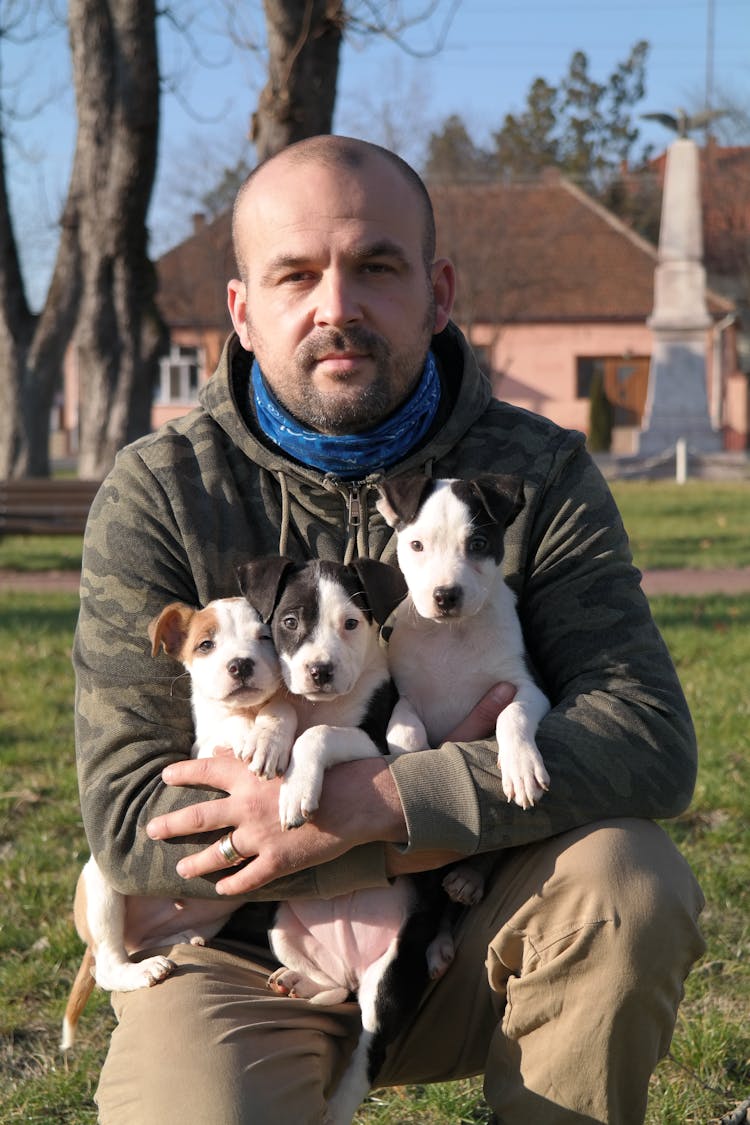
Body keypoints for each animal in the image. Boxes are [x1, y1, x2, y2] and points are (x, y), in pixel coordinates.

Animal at [377, 472, 548, 810]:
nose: (445, 595)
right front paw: (415, 757)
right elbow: (403, 735)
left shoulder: (528, 685)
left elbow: (512, 714)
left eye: (478, 544)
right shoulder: (407, 696)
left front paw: (522, 768)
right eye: (416, 545)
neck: (452, 633)